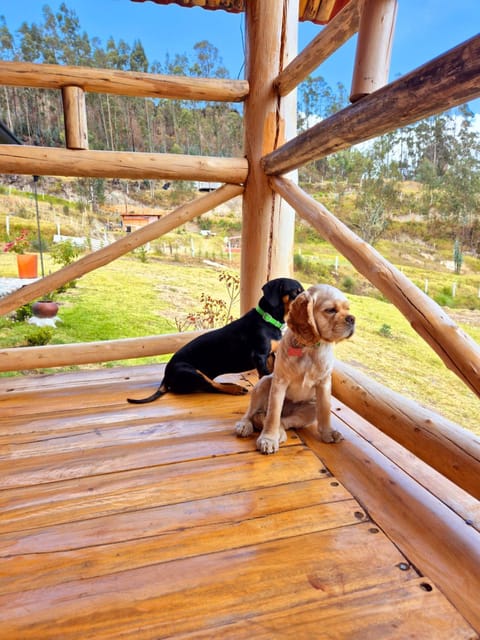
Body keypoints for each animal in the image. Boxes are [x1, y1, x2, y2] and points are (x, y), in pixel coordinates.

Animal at [125, 276, 302, 404]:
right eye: (296, 292)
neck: (267, 320)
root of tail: (166, 375)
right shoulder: (259, 356)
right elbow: (264, 375)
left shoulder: (270, 355)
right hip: (190, 372)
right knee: (212, 386)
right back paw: (235, 389)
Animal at [234, 284, 354, 456]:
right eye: (330, 310)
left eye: (348, 309)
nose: (352, 319)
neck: (309, 347)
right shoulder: (279, 383)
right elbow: (273, 415)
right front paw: (268, 439)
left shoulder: (324, 383)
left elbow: (325, 411)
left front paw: (328, 432)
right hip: (264, 382)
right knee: (255, 413)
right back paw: (246, 425)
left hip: (310, 409)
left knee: (284, 421)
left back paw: (279, 432)